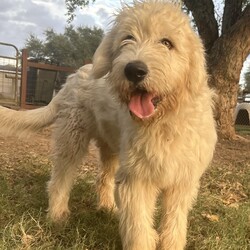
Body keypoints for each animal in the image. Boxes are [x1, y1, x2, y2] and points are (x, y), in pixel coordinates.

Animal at [0, 0, 217, 249]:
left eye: (167, 43)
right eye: (127, 38)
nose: (134, 70)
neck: (165, 121)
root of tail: (73, 76)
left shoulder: (182, 184)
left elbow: (174, 228)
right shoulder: (137, 180)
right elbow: (139, 229)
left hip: (111, 148)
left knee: (103, 177)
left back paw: (106, 207)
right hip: (72, 137)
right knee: (60, 178)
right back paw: (57, 215)